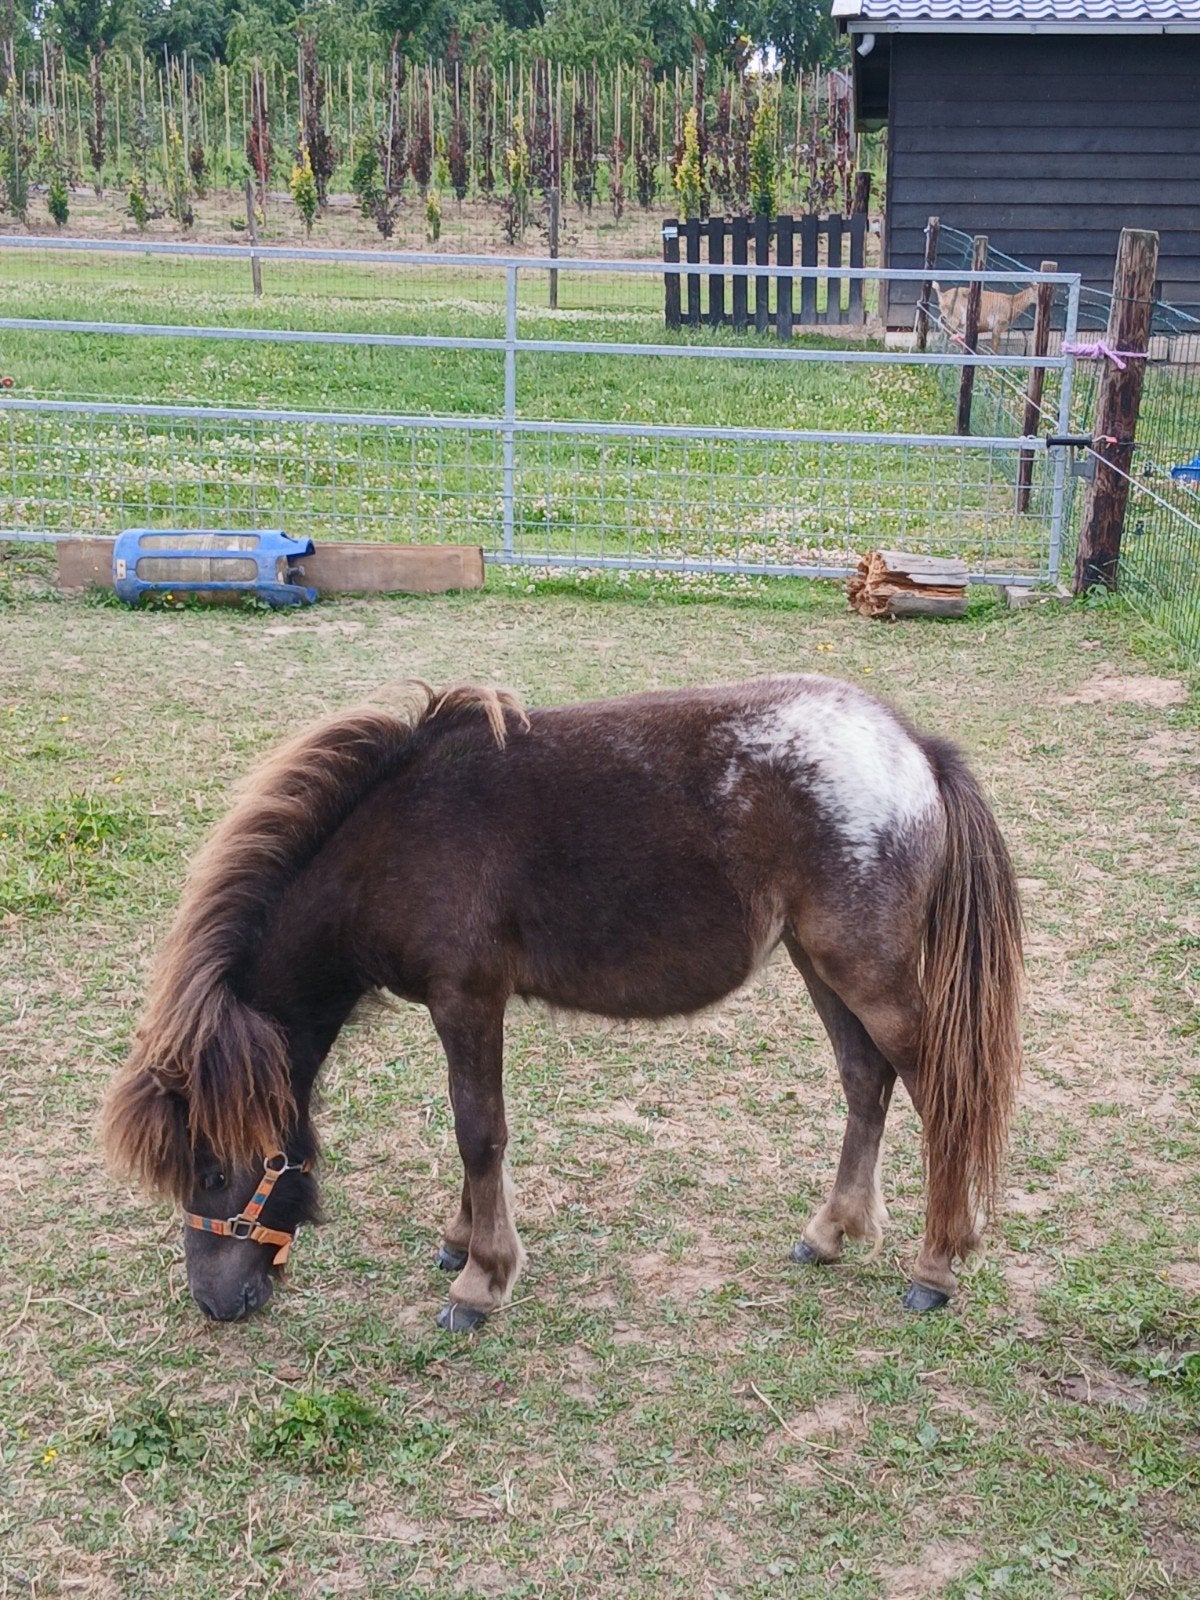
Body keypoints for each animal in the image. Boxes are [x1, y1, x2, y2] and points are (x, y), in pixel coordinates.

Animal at [102, 676, 1023, 1331]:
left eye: (214, 1170)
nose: (216, 1303)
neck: (397, 840)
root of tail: (913, 748)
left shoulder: (467, 999)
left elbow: (479, 1132)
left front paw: (481, 1283)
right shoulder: (464, 1005)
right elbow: (475, 1134)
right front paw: (460, 1244)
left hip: (866, 972)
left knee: (941, 1093)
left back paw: (936, 1266)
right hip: (818, 962)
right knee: (866, 1079)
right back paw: (831, 1232)